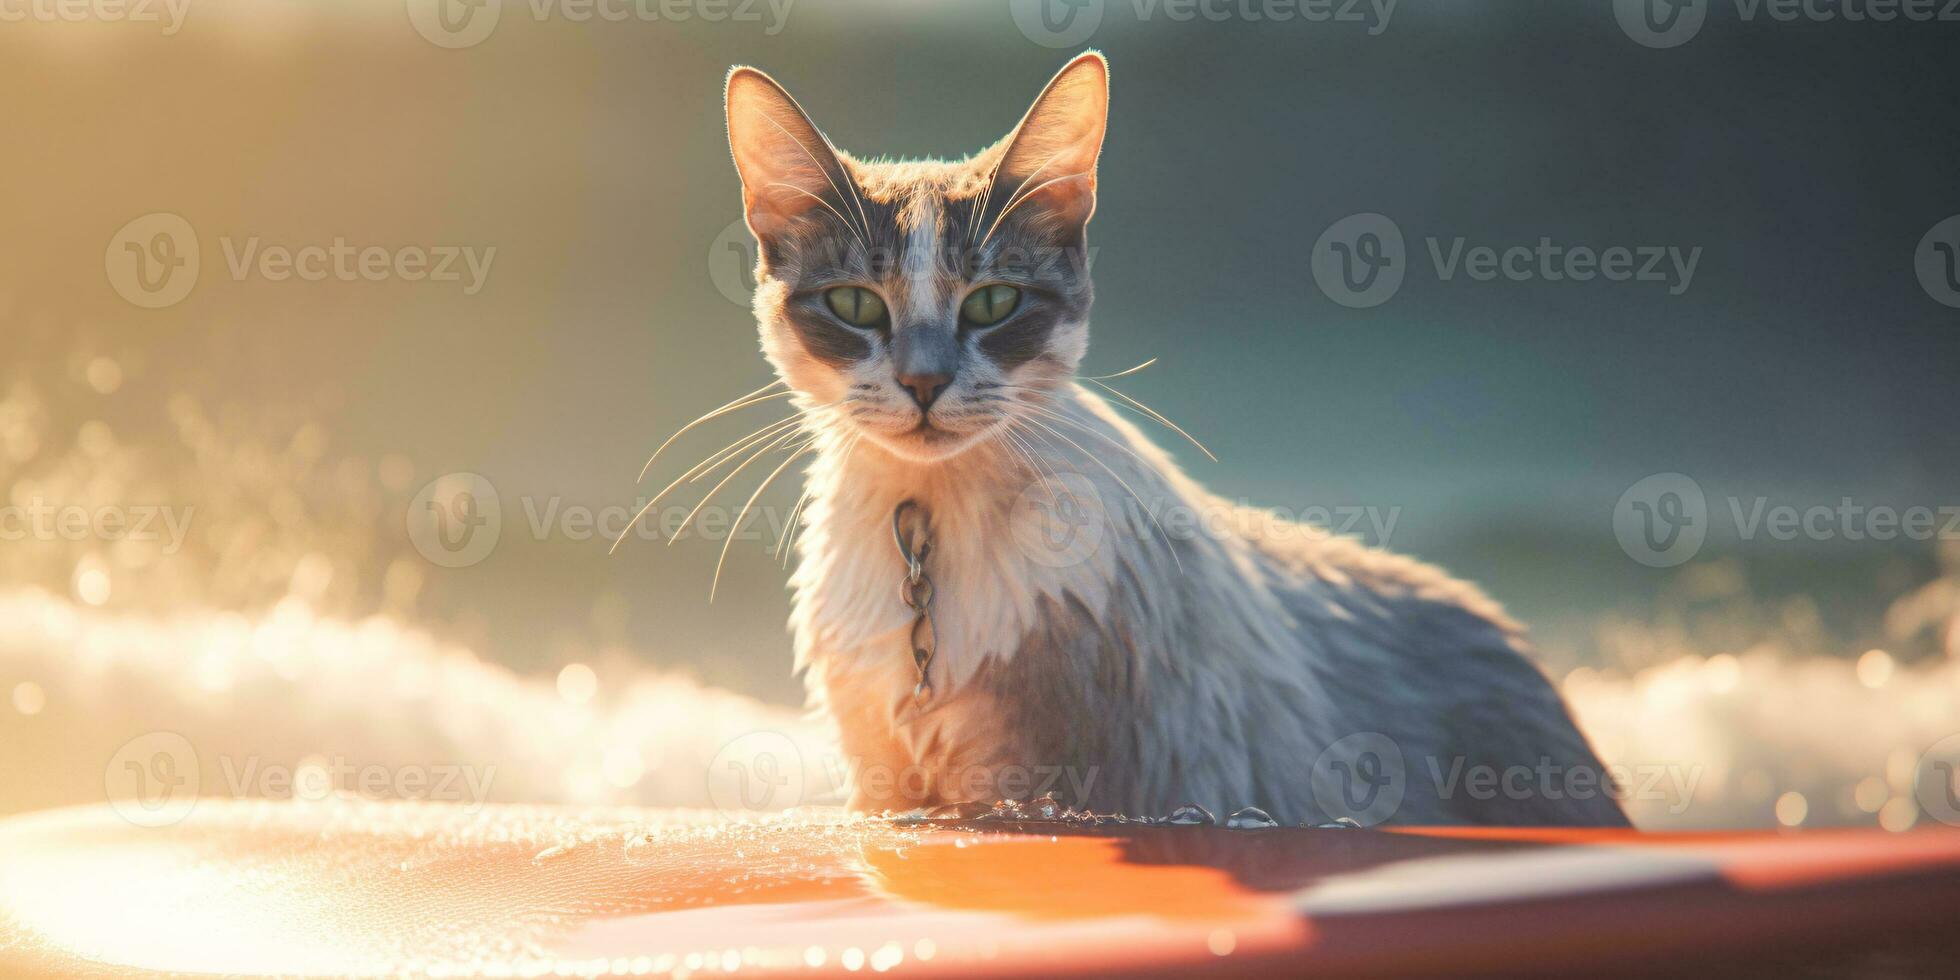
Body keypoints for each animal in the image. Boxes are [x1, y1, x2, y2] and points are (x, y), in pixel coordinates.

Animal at [717, 49, 1622, 823]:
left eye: (994, 304)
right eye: (855, 307)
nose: (924, 383)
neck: (925, 528)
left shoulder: (1033, 784)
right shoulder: (882, 782)